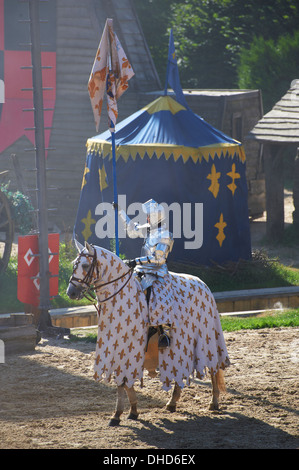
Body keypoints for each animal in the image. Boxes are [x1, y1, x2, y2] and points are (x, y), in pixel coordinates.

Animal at [68, 242, 231, 426]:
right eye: (74, 264)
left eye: (85, 265)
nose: (70, 292)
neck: (120, 294)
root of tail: (203, 284)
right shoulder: (116, 347)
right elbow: (123, 382)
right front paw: (130, 411)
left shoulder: (127, 348)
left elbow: (123, 381)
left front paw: (119, 414)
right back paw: (172, 402)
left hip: (208, 338)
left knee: (213, 369)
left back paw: (214, 402)